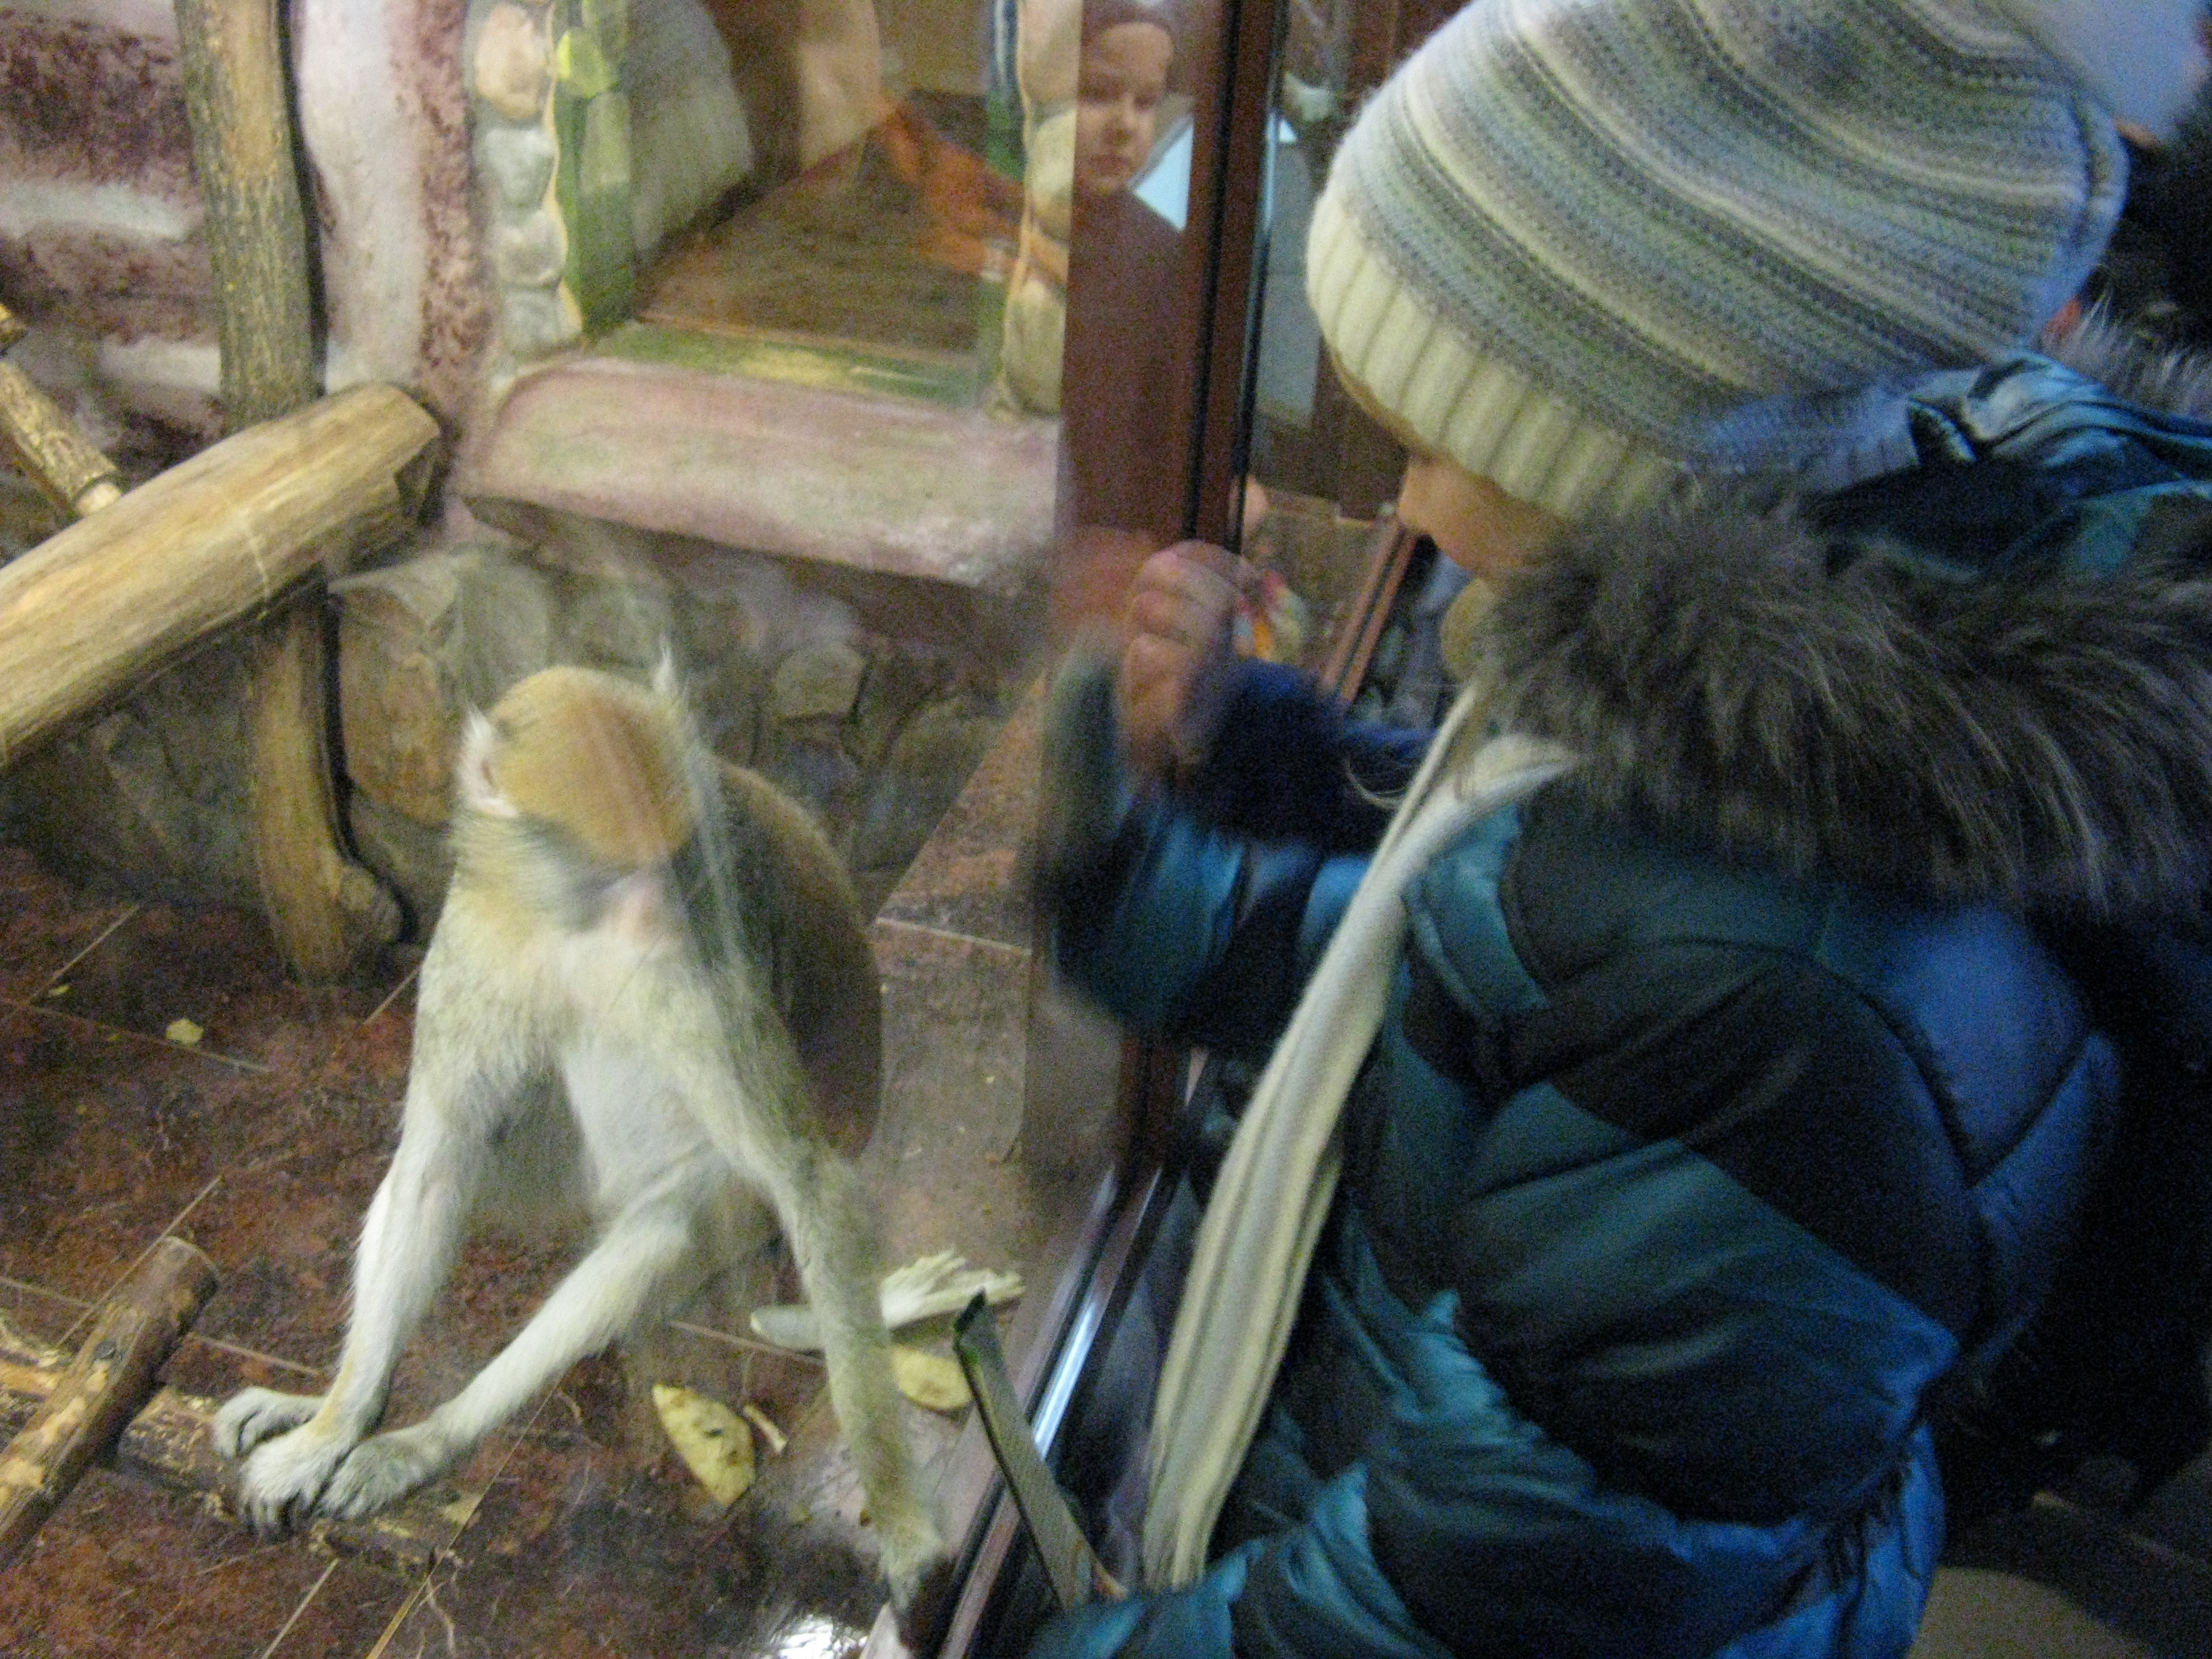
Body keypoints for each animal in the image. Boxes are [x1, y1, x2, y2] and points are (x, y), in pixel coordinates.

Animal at [212, 662, 945, 1612]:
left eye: (675, 862)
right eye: (611, 873)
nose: (657, 917)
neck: (567, 928)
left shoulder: (702, 962)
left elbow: (807, 1181)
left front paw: (902, 1527)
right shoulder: (479, 929)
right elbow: (434, 1166)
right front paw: (330, 1426)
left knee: (664, 1219)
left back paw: (431, 1440)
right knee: (447, 1158)